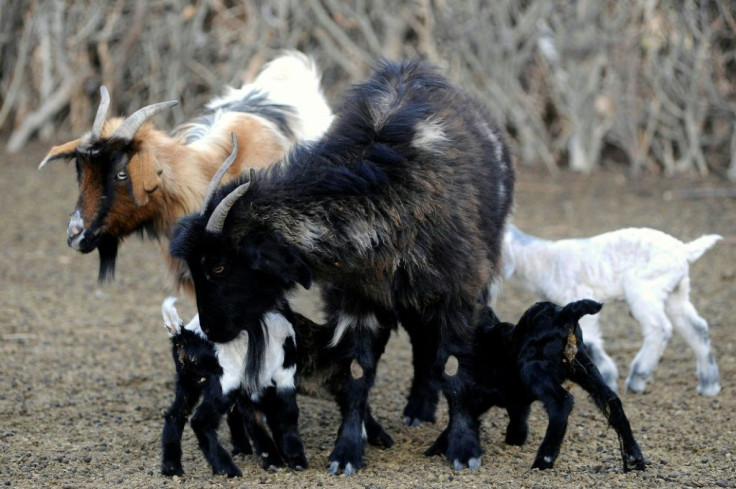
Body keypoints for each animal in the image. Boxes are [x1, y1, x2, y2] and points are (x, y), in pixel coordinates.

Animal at [171, 58, 516, 472]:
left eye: (219, 265)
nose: (211, 329)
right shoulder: (355, 300)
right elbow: (356, 374)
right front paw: (347, 452)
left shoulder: (458, 293)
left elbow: (455, 369)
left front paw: (463, 447)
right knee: (420, 343)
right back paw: (416, 410)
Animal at [472, 300, 644, 470]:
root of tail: (563, 313)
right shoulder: (517, 402)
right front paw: (515, 438)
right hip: (584, 366)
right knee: (611, 400)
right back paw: (634, 458)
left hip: (534, 368)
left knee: (561, 403)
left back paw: (543, 460)